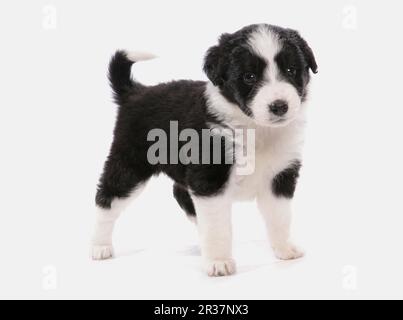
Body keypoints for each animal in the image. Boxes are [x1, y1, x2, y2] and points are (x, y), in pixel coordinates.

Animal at [92, 23, 318, 276]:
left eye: (291, 70)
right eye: (249, 77)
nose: (279, 106)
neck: (256, 128)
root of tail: (135, 92)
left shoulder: (280, 176)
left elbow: (280, 217)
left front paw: (285, 249)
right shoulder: (211, 179)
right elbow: (218, 226)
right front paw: (219, 262)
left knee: (182, 195)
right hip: (130, 163)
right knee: (106, 199)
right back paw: (100, 246)